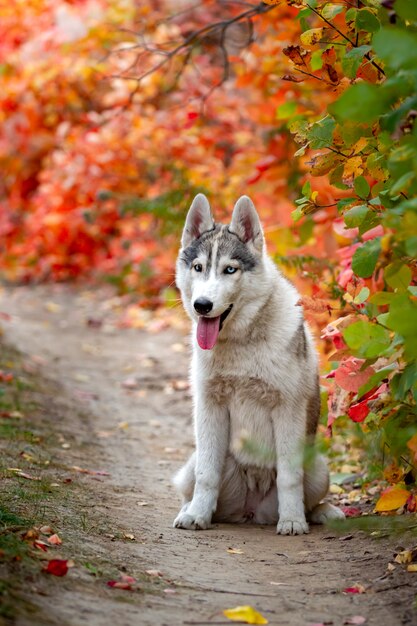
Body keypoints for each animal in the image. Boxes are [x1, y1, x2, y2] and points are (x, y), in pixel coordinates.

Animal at [172, 194, 342, 532]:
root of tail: (251, 510)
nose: (202, 306)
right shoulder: (210, 406)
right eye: (198, 267)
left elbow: (290, 478)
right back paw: (191, 510)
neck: (242, 343)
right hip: (193, 463)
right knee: (194, 482)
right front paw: (197, 516)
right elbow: (206, 476)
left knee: (311, 499)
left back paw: (322, 513)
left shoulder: (287, 409)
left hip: (318, 468)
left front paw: (292, 522)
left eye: (230, 269)